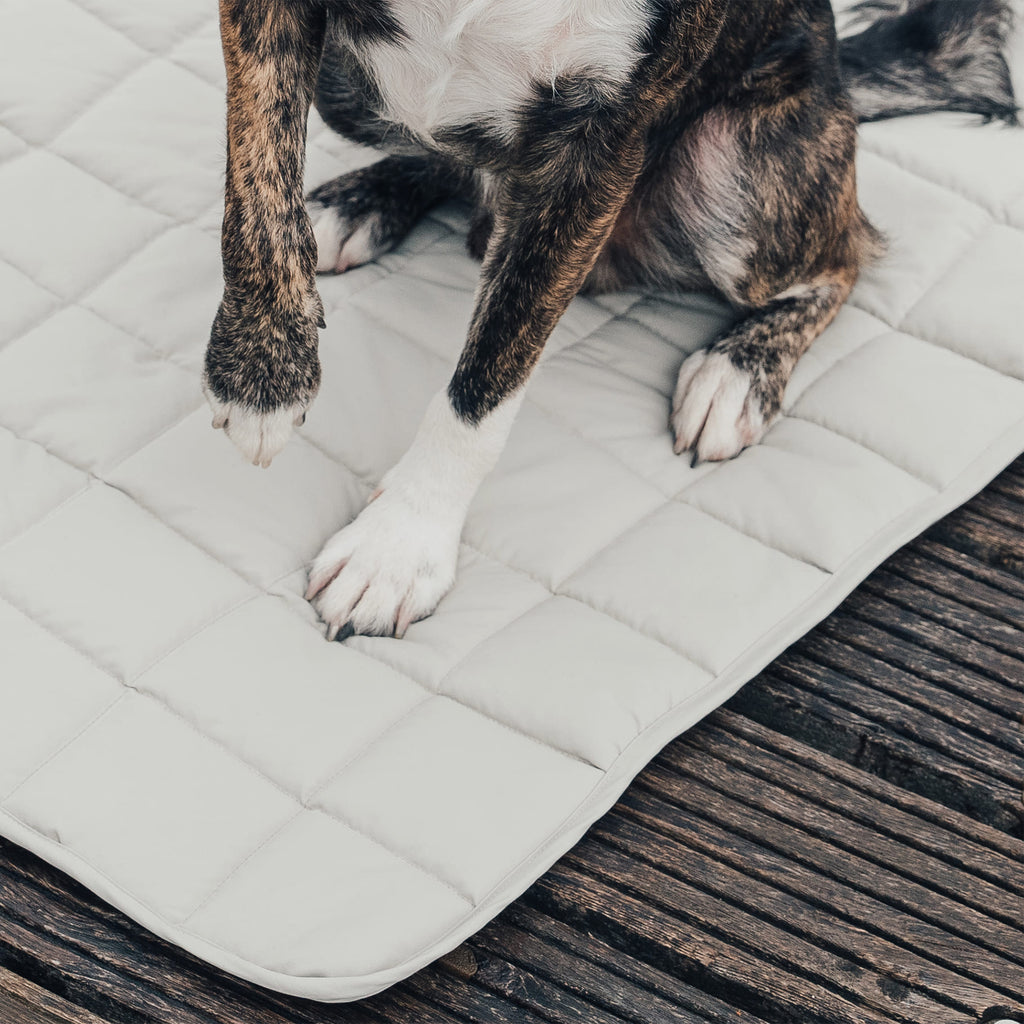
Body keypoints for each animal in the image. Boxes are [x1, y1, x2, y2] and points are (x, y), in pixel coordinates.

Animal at [203, 0, 1019, 638]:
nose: (266, 359)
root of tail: (842, 79)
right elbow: (256, 176)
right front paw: (263, 370)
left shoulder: (599, 145)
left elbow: (487, 380)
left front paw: (400, 544)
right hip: (351, 88)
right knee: (449, 156)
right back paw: (357, 204)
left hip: (737, 173)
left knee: (846, 255)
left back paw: (736, 371)